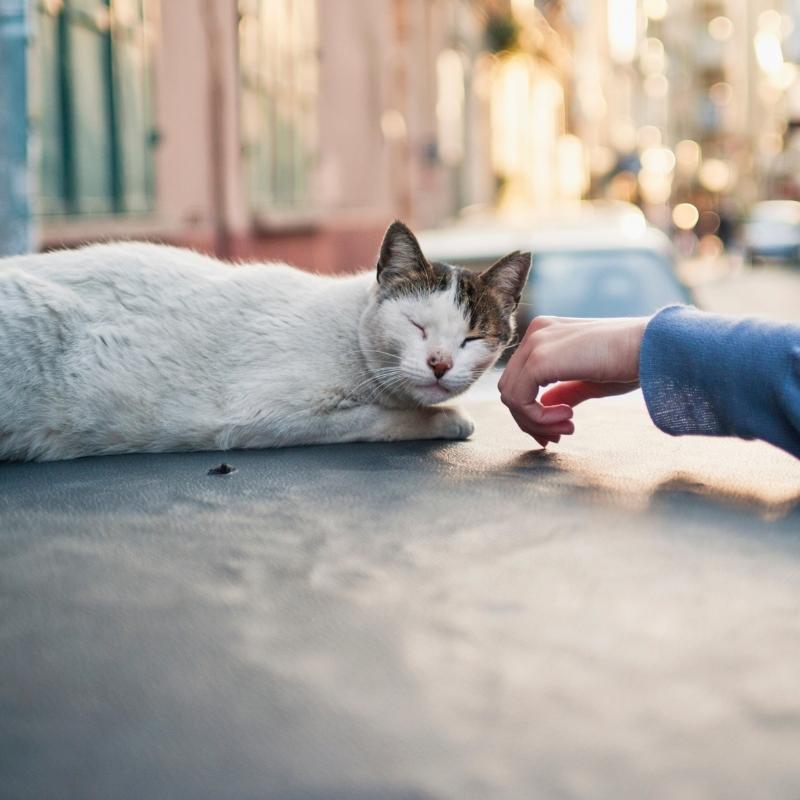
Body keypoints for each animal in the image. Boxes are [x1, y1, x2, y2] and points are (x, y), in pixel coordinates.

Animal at [1, 220, 532, 462]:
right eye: (417, 325)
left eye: (471, 338)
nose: (440, 363)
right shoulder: (268, 415)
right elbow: (386, 419)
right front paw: (450, 420)